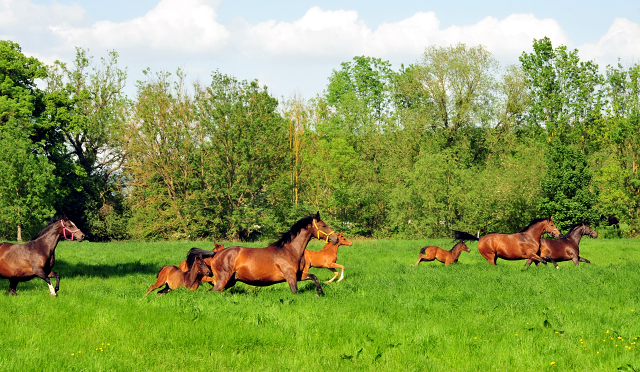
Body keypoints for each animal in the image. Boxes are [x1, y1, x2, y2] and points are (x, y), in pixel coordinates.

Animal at [210, 212, 340, 296]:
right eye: (324, 225)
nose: (336, 239)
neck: (290, 251)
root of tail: (216, 256)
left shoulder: (298, 275)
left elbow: (314, 277)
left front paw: (319, 292)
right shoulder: (290, 276)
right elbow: (295, 292)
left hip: (231, 280)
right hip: (223, 280)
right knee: (214, 292)